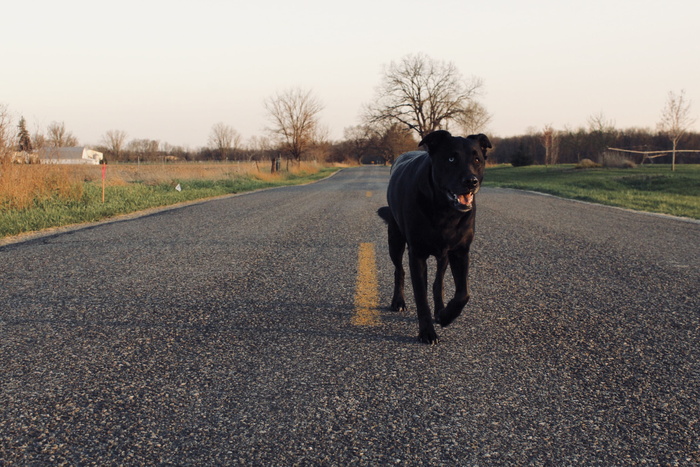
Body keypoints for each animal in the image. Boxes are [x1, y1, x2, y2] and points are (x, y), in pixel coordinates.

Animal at [380, 130, 490, 346]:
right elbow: (421, 297)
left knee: (438, 282)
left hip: (443, 255)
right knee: (399, 271)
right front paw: (427, 333)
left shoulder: (460, 252)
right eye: (451, 158)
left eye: (477, 159)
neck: (444, 211)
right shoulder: (417, 255)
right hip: (395, 240)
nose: (471, 181)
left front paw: (446, 316)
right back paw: (398, 301)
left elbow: (463, 293)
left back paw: (440, 310)